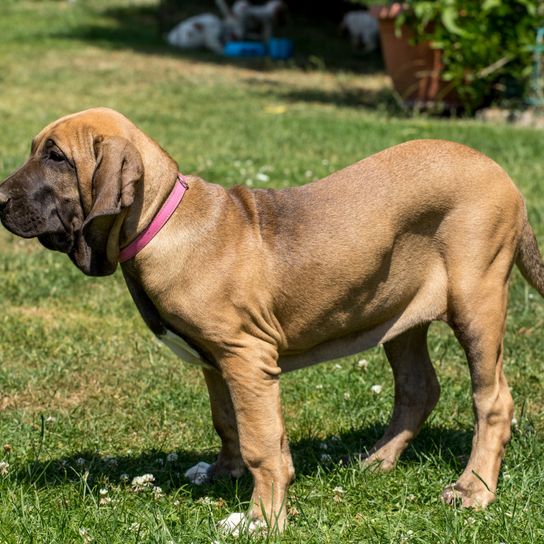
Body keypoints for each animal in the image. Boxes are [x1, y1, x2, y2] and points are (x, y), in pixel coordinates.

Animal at [1, 108, 544, 532]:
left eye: (56, 157)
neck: (162, 220)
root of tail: (505, 178)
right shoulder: (217, 360)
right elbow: (227, 421)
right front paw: (224, 472)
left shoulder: (247, 356)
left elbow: (262, 441)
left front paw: (263, 518)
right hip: (398, 312)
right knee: (418, 389)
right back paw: (377, 461)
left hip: (476, 299)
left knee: (493, 400)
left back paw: (473, 489)